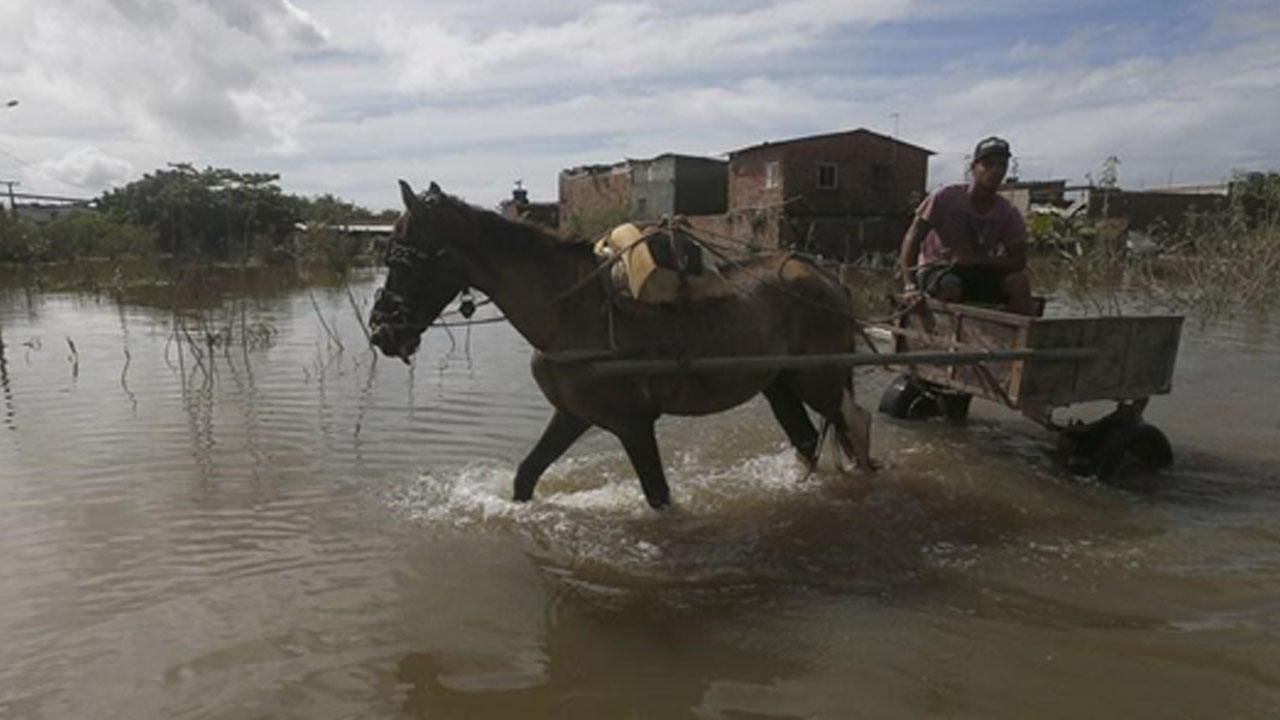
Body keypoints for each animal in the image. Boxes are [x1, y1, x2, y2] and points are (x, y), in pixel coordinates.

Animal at [366, 179, 875, 507]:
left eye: (405, 256)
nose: (380, 331)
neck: (573, 310)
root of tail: (825, 274)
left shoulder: (633, 424)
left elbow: (658, 495)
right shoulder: (572, 415)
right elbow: (525, 476)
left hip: (819, 378)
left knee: (856, 421)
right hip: (779, 383)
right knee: (807, 440)